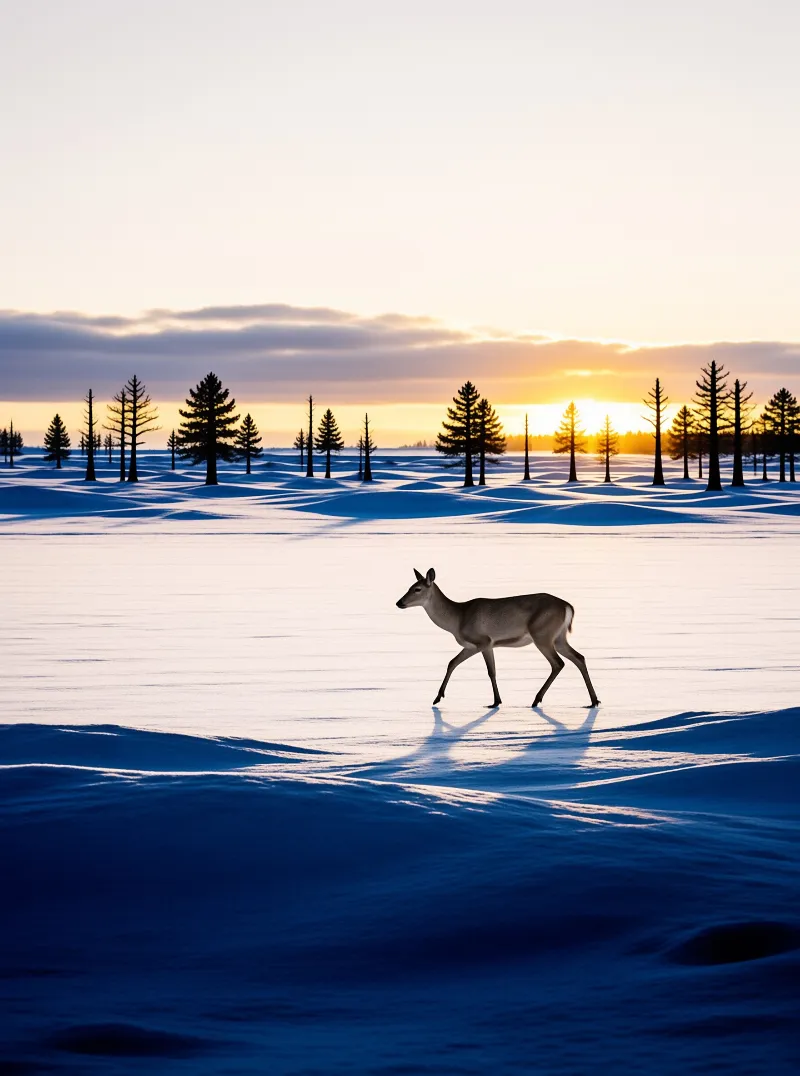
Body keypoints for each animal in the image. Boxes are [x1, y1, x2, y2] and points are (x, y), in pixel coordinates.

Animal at [396, 568, 600, 709]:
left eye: (417, 589)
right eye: (409, 587)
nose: (399, 602)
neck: (458, 618)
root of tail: (568, 606)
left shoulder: (484, 641)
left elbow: (489, 671)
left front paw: (495, 701)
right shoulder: (474, 645)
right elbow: (453, 663)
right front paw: (438, 697)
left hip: (542, 634)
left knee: (558, 663)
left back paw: (536, 699)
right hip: (559, 637)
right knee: (579, 657)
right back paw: (594, 700)